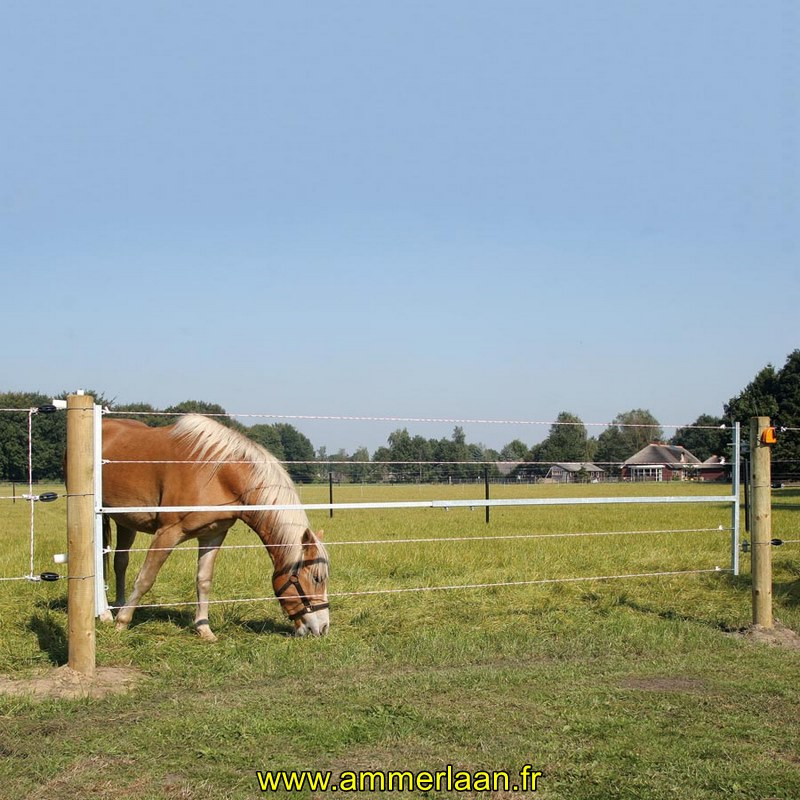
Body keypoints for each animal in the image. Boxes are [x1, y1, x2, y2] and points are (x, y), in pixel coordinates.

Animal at [101, 416, 330, 640]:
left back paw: (117, 605)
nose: (323, 628)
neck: (218, 473)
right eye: (316, 578)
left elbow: (204, 581)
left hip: (124, 522)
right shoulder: (167, 533)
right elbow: (146, 578)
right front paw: (122, 623)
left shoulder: (213, 535)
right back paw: (106, 614)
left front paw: (204, 629)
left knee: (119, 562)